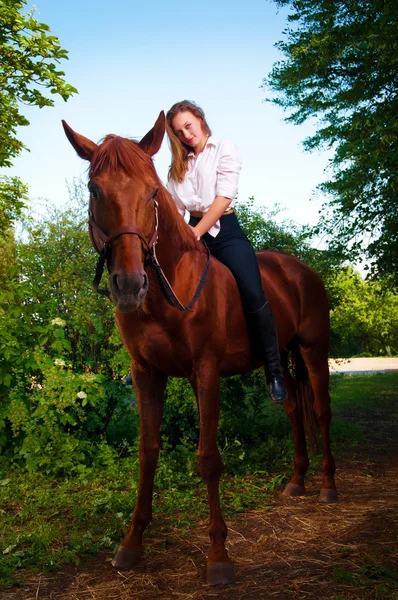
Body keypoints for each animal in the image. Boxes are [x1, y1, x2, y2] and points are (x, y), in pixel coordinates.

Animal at [62, 112, 336, 584]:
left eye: (152, 191)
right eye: (95, 190)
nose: (129, 285)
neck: (168, 291)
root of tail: (301, 270)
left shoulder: (205, 373)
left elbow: (208, 458)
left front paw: (219, 556)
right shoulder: (145, 375)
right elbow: (147, 452)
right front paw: (131, 543)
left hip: (314, 351)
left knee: (320, 411)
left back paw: (328, 486)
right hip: (281, 359)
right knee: (293, 410)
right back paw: (297, 481)